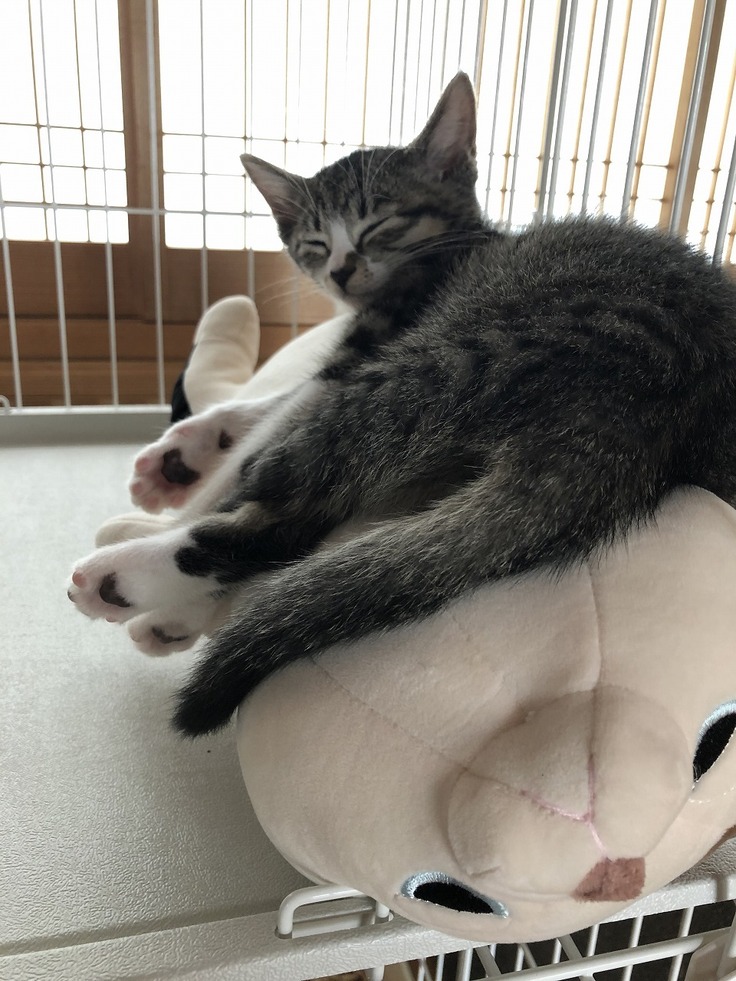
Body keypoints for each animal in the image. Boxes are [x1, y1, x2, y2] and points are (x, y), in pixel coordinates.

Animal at [68, 72, 736, 737]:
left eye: (379, 224)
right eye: (314, 241)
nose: (340, 270)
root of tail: (658, 413)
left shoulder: (372, 343)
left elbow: (266, 437)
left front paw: (180, 504)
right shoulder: (351, 354)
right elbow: (270, 403)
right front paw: (182, 453)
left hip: (449, 363)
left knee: (289, 502)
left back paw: (122, 571)